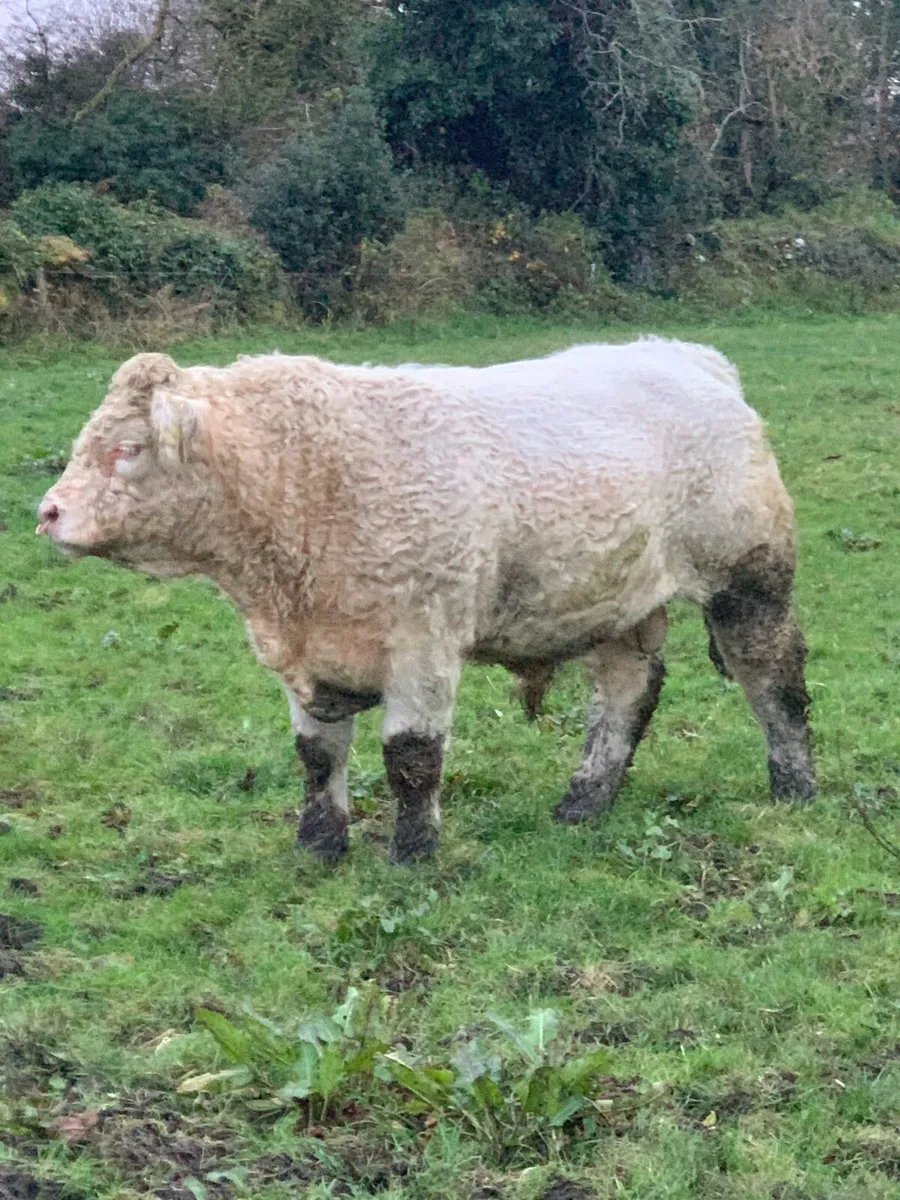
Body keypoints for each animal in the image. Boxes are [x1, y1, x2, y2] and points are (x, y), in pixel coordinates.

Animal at [37, 339, 816, 863]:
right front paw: (318, 844)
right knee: (628, 692)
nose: (47, 513)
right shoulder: (308, 655)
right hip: (613, 600)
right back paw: (584, 799)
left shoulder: (424, 640)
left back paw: (794, 786)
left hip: (748, 577)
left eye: (129, 447)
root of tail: (688, 357)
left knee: (774, 679)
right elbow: (316, 756)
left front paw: (412, 852)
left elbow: (411, 756)